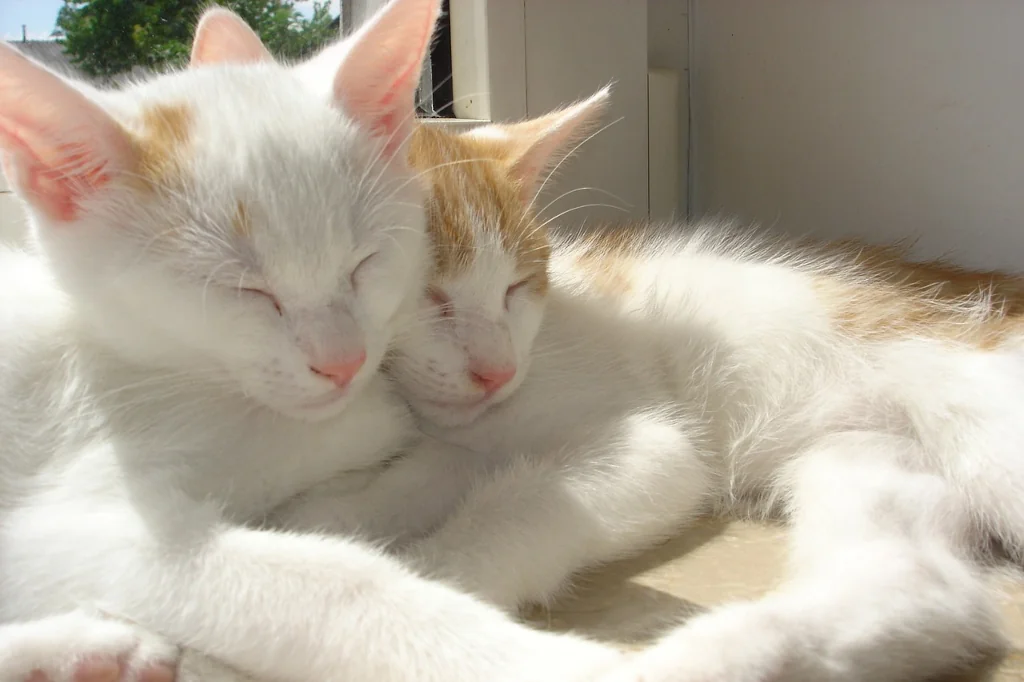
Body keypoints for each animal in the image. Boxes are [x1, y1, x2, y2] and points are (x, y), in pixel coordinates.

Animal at [0, 5, 622, 679]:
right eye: (245, 291)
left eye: (365, 263)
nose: (343, 362)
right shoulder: (66, 523)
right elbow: (330, 581)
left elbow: (432, 462)